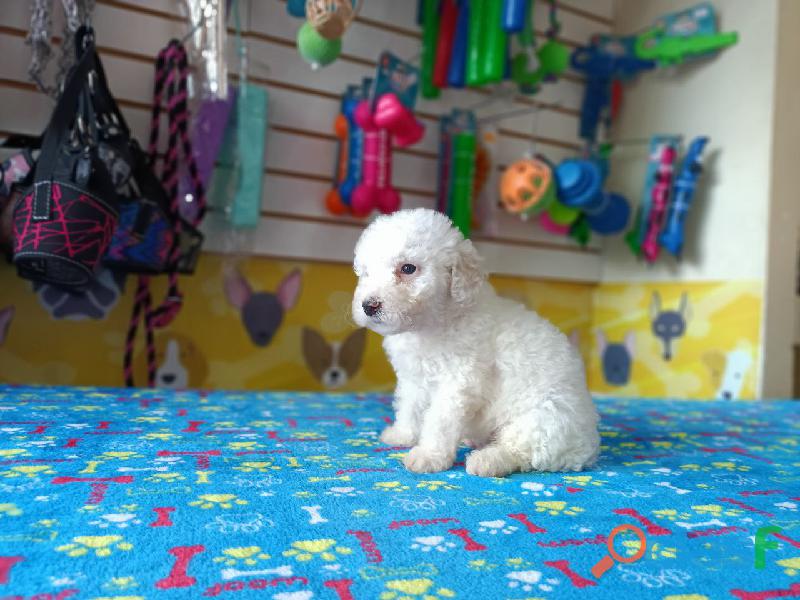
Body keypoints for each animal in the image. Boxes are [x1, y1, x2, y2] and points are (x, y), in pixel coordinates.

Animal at [352, 209, 600, 476]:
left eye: (408, 268)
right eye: (366, 273)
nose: (368, 305)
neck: (430, 324)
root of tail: (589, 447)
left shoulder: (458, 381)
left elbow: (439, 421)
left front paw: (429, 456)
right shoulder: (413, 378)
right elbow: (410, 406)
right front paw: (402, 435)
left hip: (545, 418)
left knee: (521, 452)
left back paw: (486, 460)